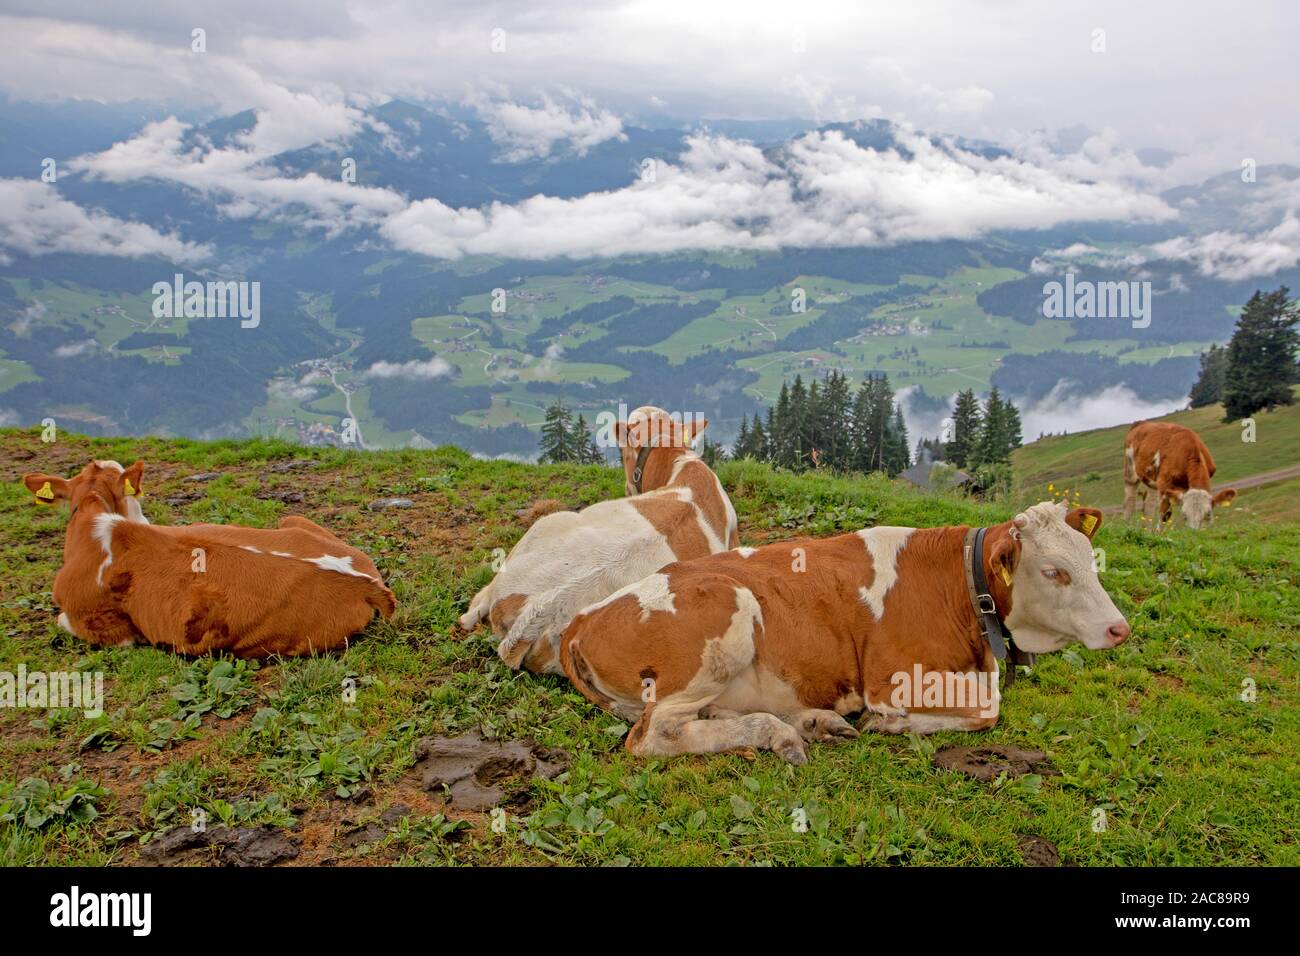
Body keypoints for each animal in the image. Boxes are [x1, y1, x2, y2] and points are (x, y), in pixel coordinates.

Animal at [559, 502, 1128, 764]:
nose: (1118, 629)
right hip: (726, 617)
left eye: (1089, 558)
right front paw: (892, 724)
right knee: (656, 735)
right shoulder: (894, 677)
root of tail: (583, 618)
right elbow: (988, 708)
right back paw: (781, 733)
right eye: (1054, 571)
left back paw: (813, 722)